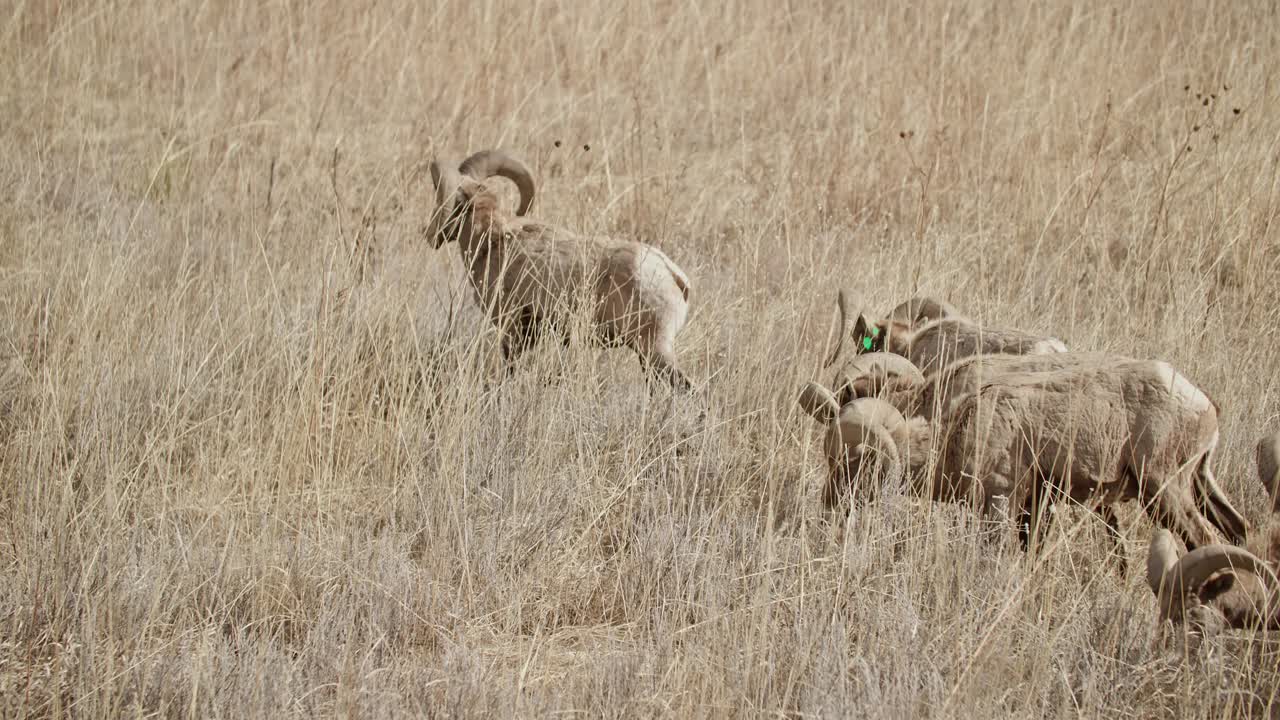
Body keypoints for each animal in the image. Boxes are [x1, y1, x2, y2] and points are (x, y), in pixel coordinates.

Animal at [793, 351, 1244, 550]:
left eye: (850, 461)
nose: (828, 507)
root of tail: (1204, 403)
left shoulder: (1000, 503)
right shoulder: (1035, 506)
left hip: (1165, 492)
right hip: (1199, 484)